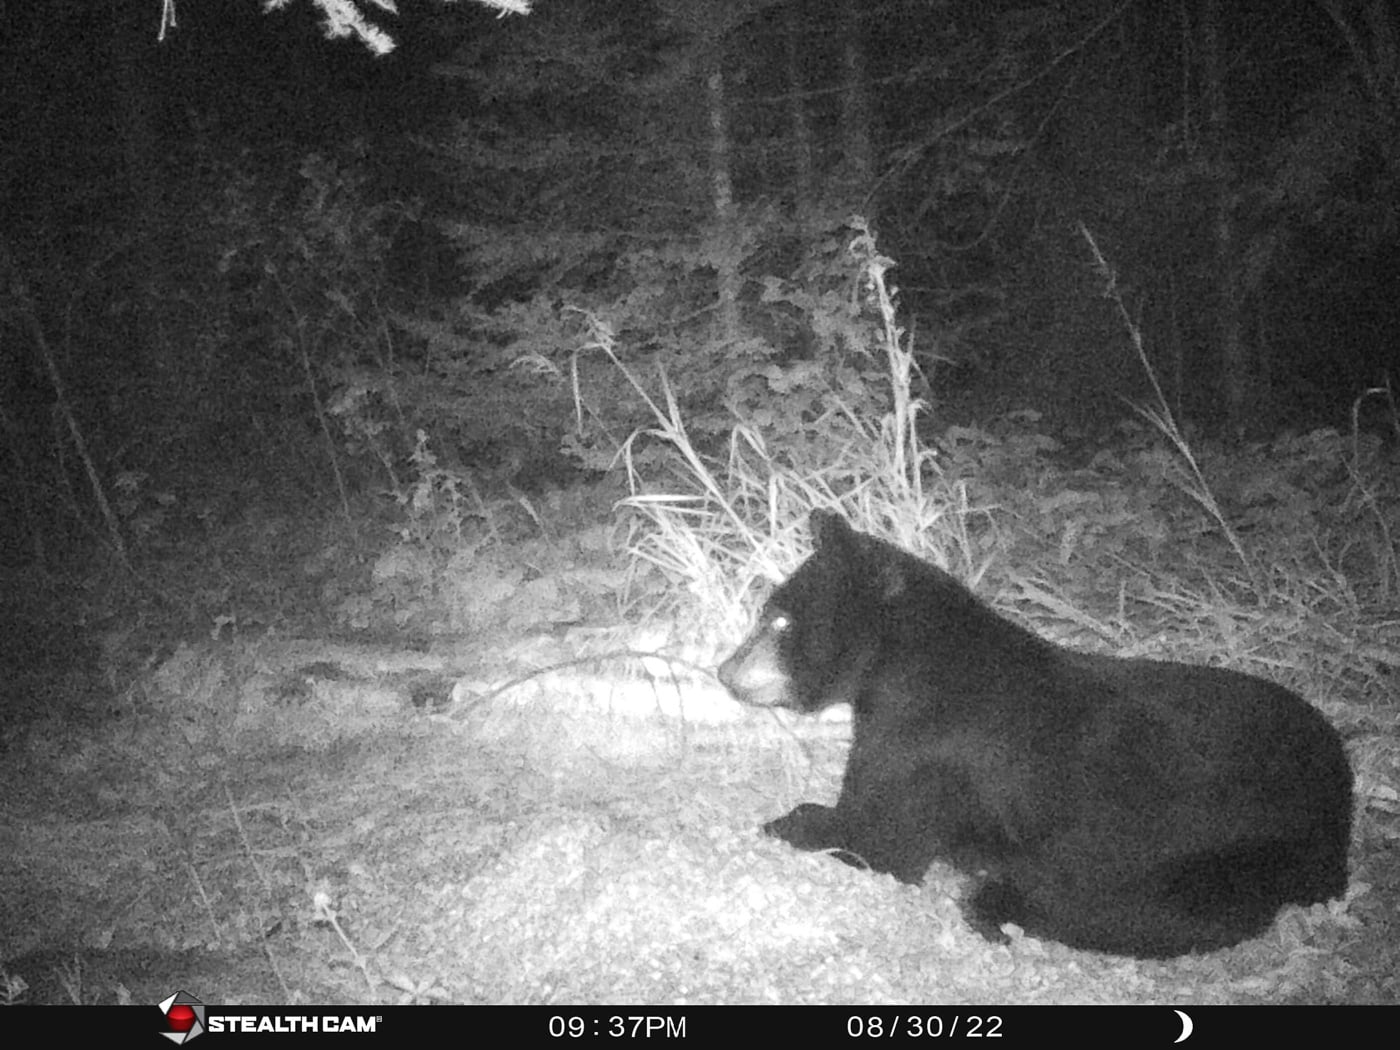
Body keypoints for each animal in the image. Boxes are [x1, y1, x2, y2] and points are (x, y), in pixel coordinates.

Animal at [716, 512, 1349, 963]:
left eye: (777, 619)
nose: (723, 671)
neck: (899, 672)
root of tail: (1342, 791)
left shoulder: (925, 746)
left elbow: (883, 838)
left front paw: (788, 821)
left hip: (1225, 836)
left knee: (1170, 909)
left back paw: (1002, 903)